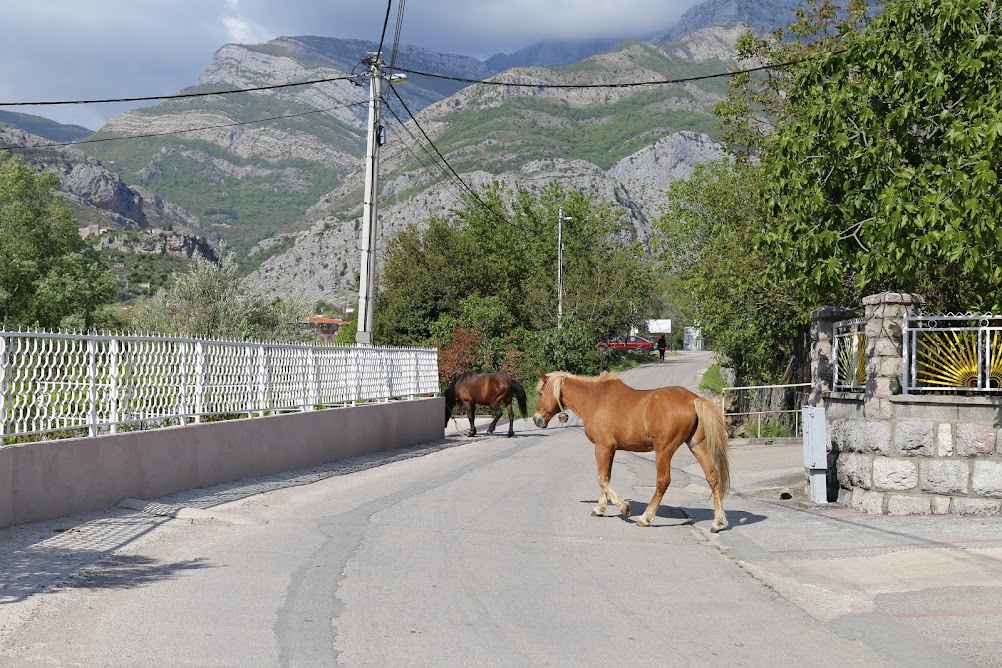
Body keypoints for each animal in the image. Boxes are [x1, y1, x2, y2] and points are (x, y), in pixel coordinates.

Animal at [533, 370, 729, 532]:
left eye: (540, 393)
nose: (536, 419)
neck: (594, 399)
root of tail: (693, 400)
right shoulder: (610, 449)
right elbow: (606, 478)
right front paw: (600, 508)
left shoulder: (602, 447)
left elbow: (601, 479)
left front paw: (623, 506)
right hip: (697, 446)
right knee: (712, 478)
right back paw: (718, 522)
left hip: (663, 450)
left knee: (663, 481)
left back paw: (646, 517)